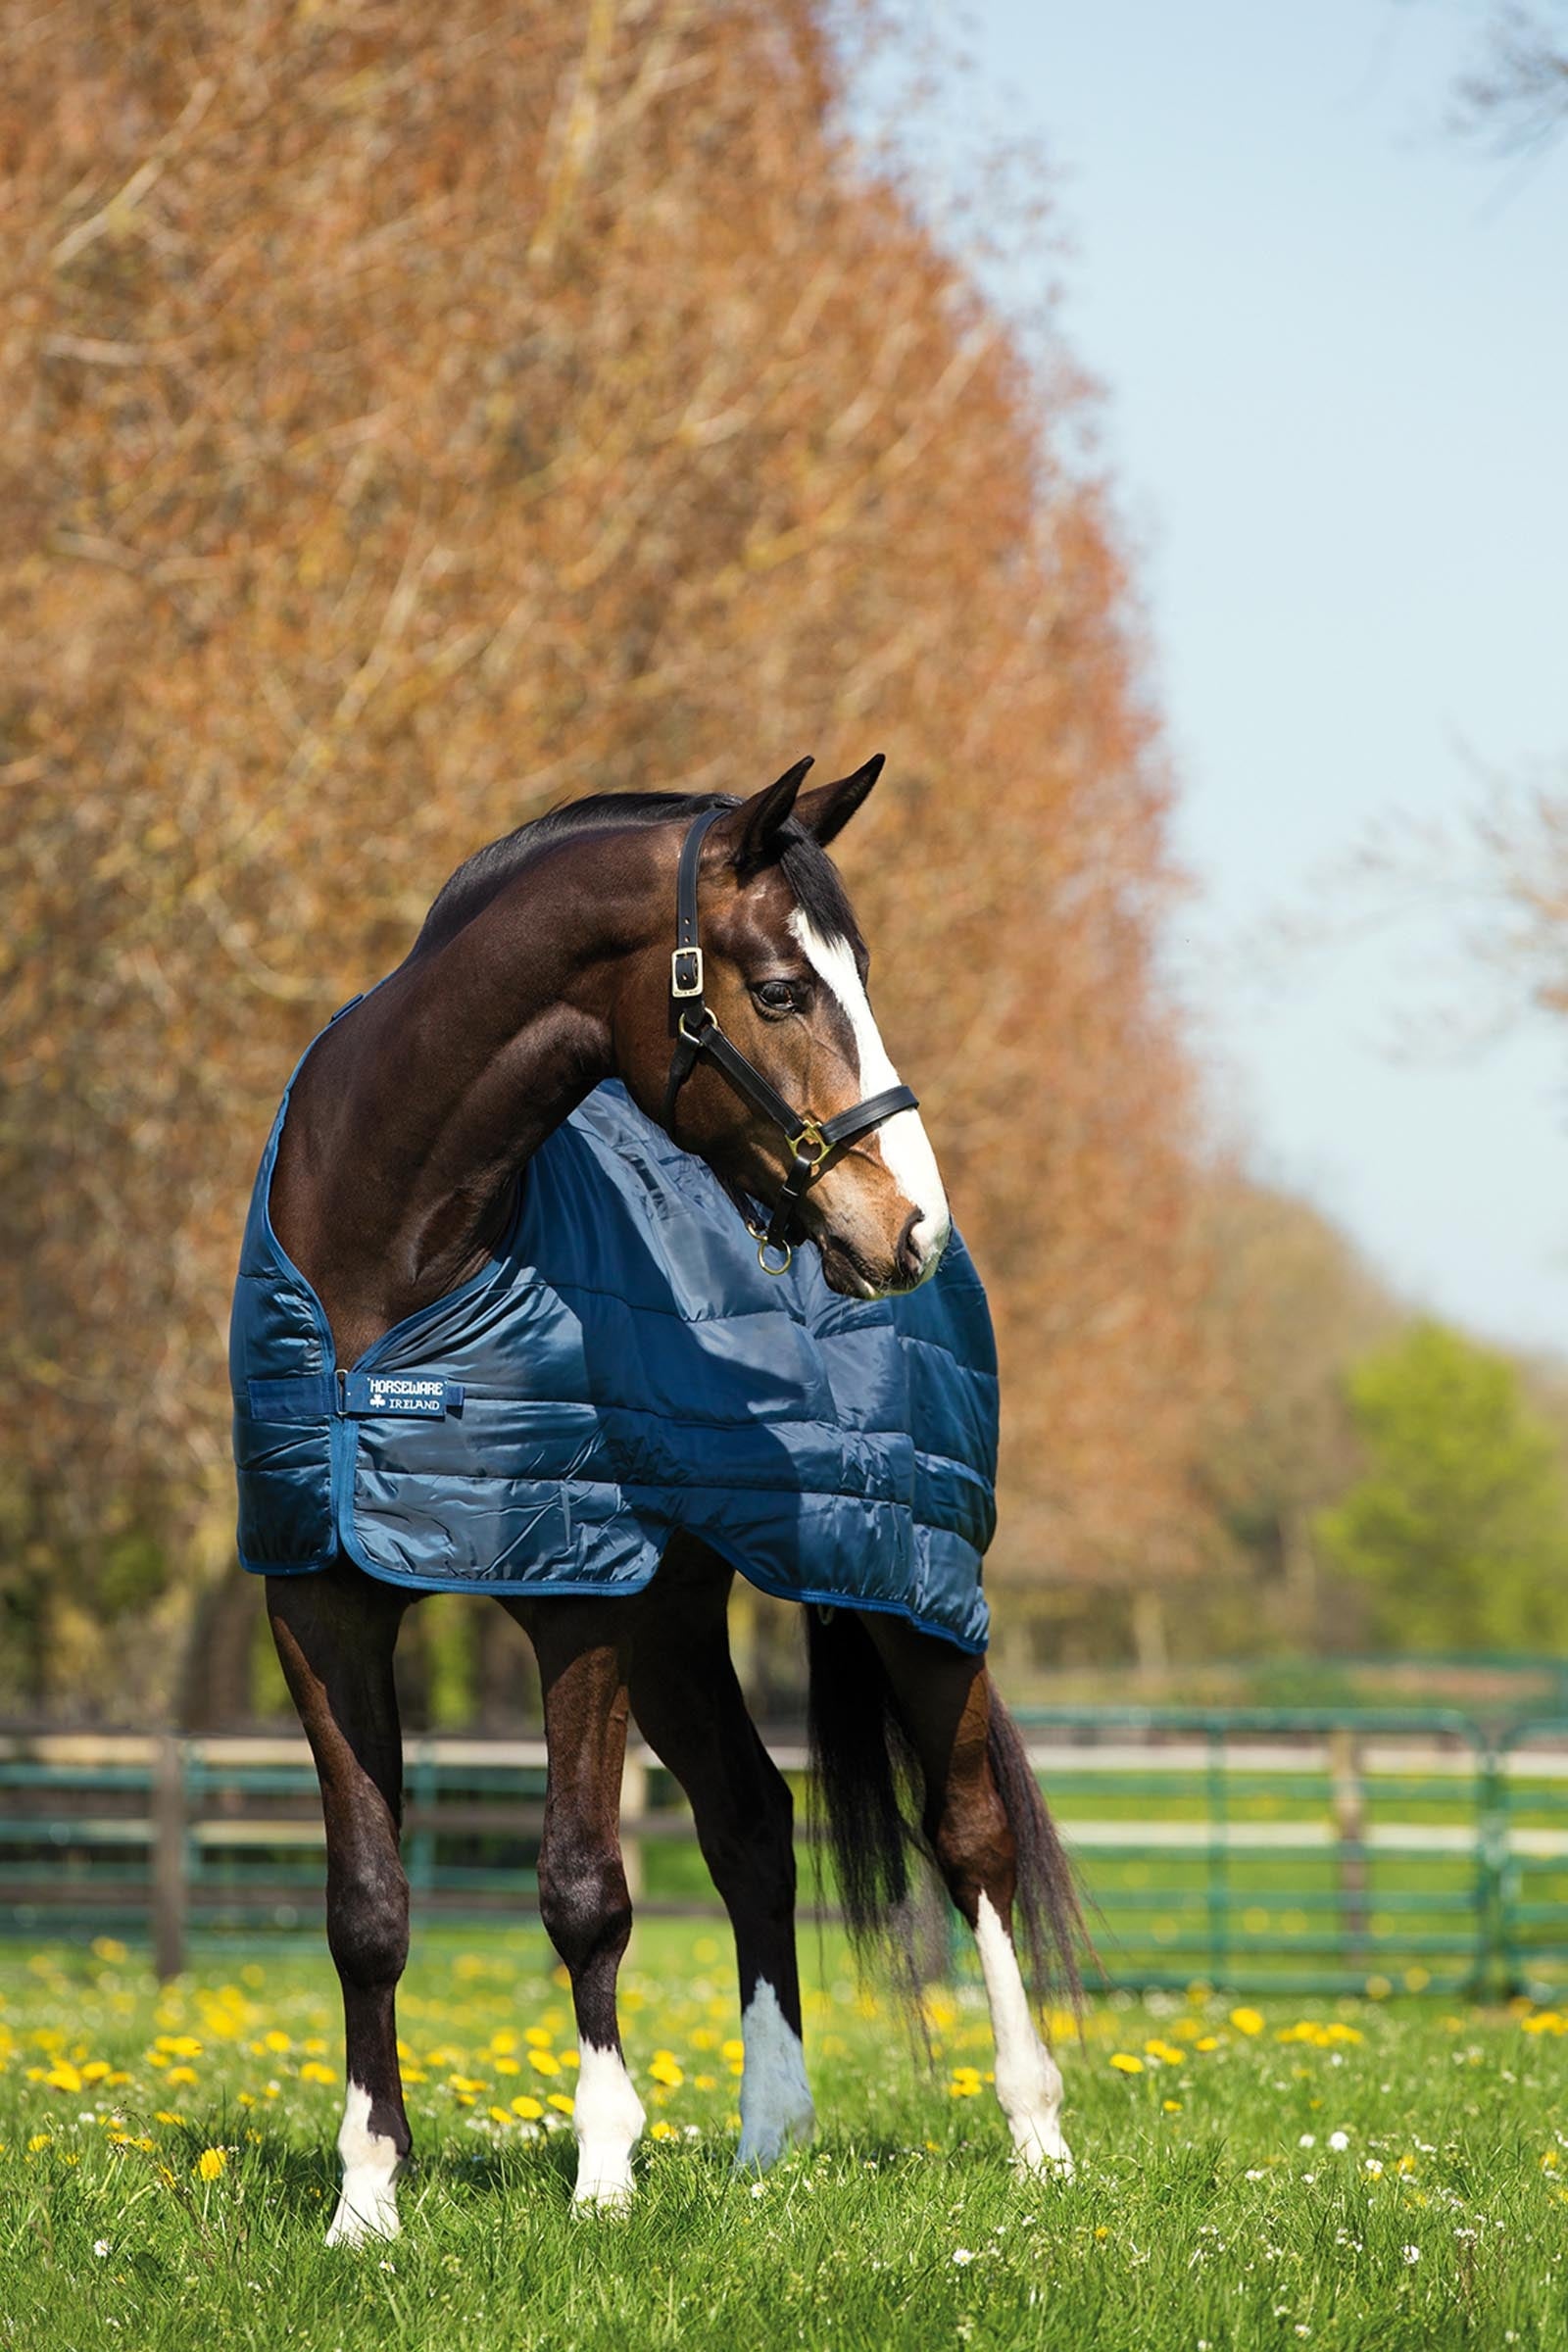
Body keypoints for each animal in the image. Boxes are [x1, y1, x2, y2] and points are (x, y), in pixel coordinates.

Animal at [232, 755, 1081, 2246]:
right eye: (784, 991)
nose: (910, 1227)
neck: (391, 1266)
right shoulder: (320, 1598)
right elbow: (366, 1905)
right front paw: (367, 2201)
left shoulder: (576, 1597)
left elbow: (583, 1887)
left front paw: (604, 2179)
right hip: (681, 1622)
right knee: (752, 1825)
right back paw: (768, 2142)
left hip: (910, 1584)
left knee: (970, 1838)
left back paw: (1034, 2136)